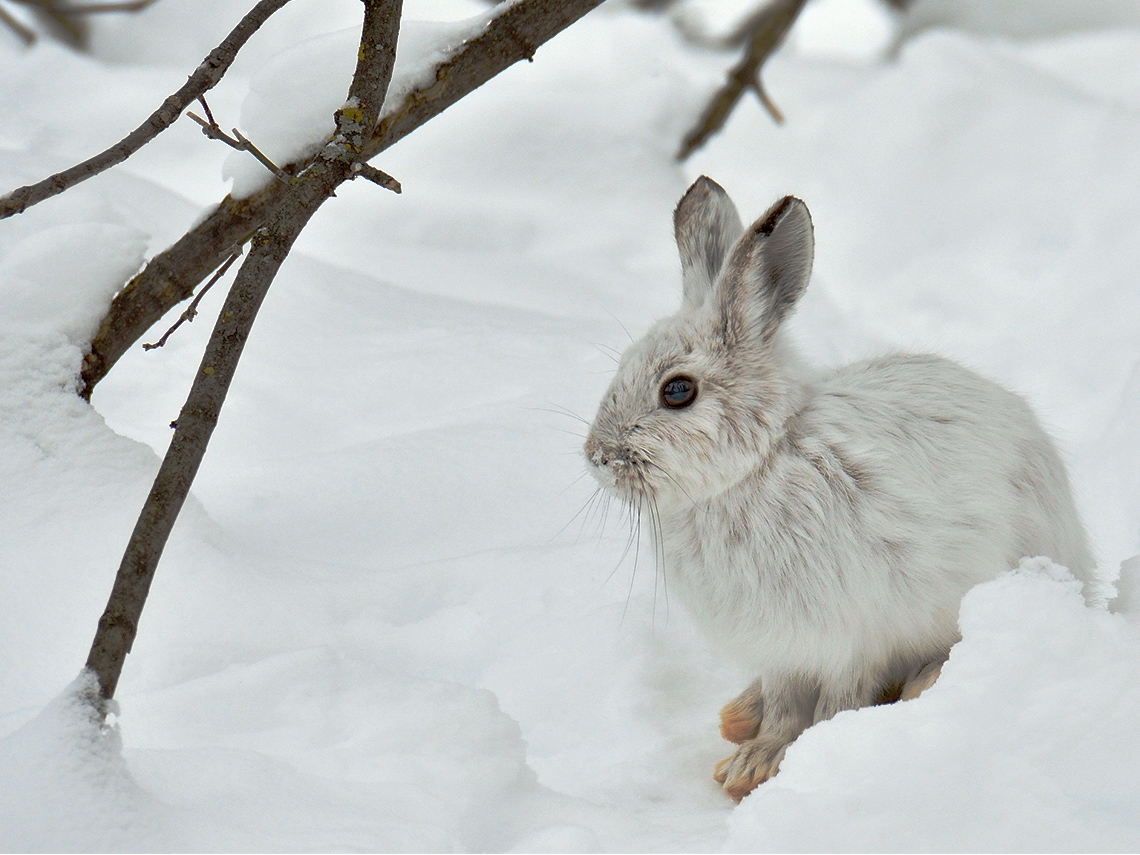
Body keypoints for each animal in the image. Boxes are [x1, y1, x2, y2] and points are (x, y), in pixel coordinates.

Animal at [583, 176, 1095, 801]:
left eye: (678, 391)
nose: (598, 457)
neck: (759, 464)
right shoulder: (785, 651)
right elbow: (784, 704)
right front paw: (748, 764)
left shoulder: (853, 637)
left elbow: (838, 704)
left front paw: (784, 762)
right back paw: (739, 714)